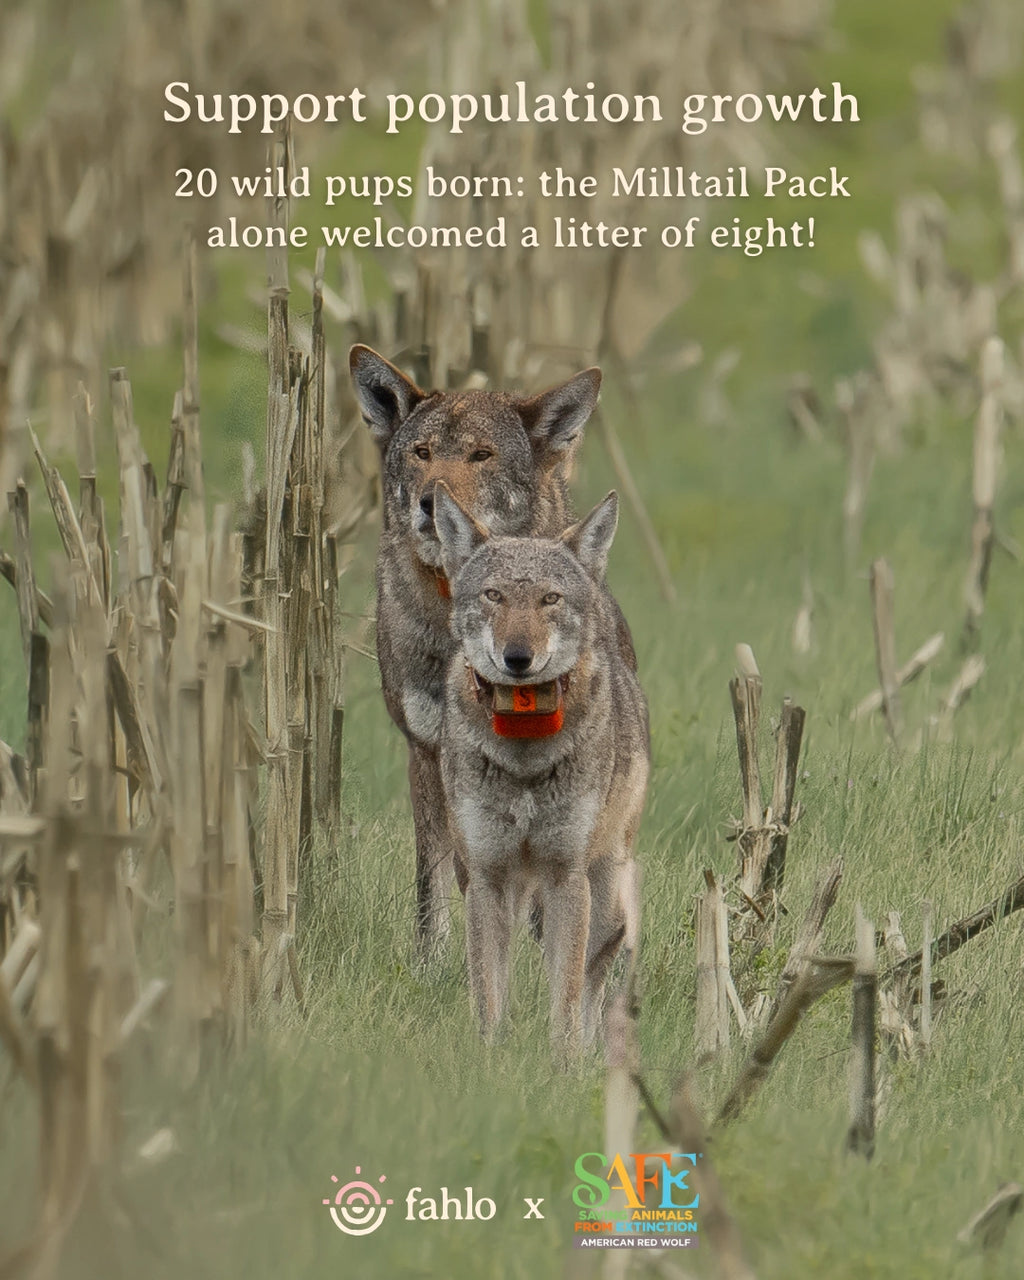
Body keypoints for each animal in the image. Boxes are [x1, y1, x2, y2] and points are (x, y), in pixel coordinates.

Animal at [349, 345, 603, 960]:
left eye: (481, 455)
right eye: (421, 453)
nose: (427, 504)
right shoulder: (425, 750)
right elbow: (435, 875)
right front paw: (432, 959)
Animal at [433, 486, 649, 1055]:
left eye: (549, 599)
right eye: (493, 596)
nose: (517, 658)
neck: (524, 753)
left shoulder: (564, 876)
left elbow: (567, 997)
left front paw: (565, 1065)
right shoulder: (485, 878)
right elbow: (488, 996)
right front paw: (490, 1061)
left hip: (604, 900)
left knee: (595, 983)